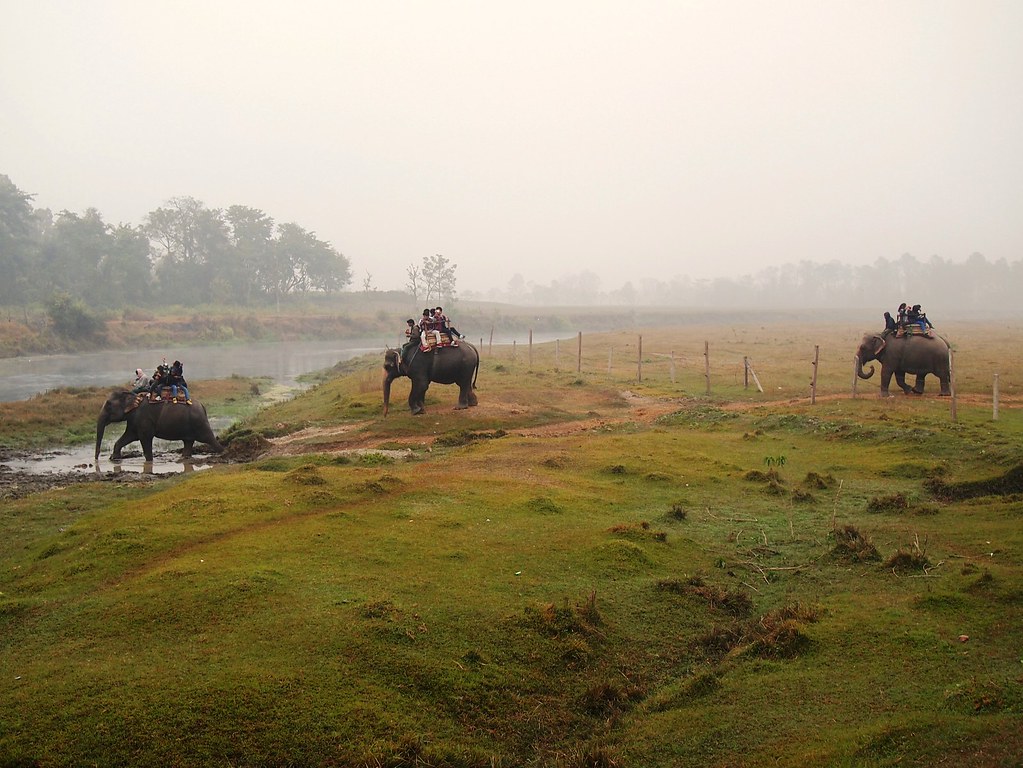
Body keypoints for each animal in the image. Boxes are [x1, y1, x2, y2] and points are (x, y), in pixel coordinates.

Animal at [95, 391, 225, 462]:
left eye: (108, 405)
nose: (96, 460)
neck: (133, 396)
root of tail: (202, 406)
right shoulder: (134, 420)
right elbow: (129, 436)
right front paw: (115, 458)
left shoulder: (144, 419)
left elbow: (145, 438)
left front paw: (149, 461)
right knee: (188, 442)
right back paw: (184, 458)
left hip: (200, 423)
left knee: (209, 439)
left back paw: (223, 453)